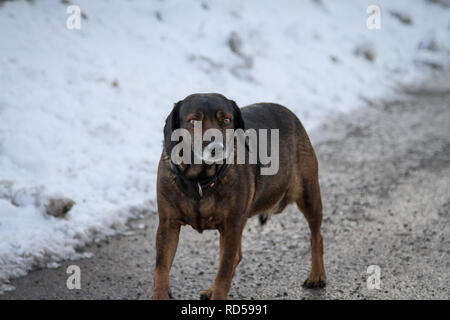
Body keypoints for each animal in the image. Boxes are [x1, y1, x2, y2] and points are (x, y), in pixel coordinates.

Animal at [153, 93, 326, 300]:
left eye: (226, 120)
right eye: (194, 120)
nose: (216, 148)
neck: (201, 180)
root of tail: (290, 114)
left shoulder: (231, 226)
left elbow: (224, 273)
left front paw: (218, 293)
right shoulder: (168, 225)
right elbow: (161, 268)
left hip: (308, 194)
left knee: (316, 236)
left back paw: (317, 275)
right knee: (235, 256)